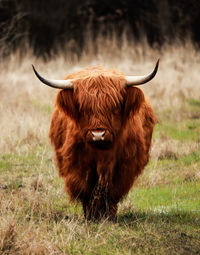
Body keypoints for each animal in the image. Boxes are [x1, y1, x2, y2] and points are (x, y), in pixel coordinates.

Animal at [32, 60, 159, 220]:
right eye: (83, 108)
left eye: (114, 106)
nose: (98, 134)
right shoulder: (77, 164)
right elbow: (86, 189)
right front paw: (90, 216)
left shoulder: (124, 166)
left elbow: (111, 191)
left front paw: (109, 216)